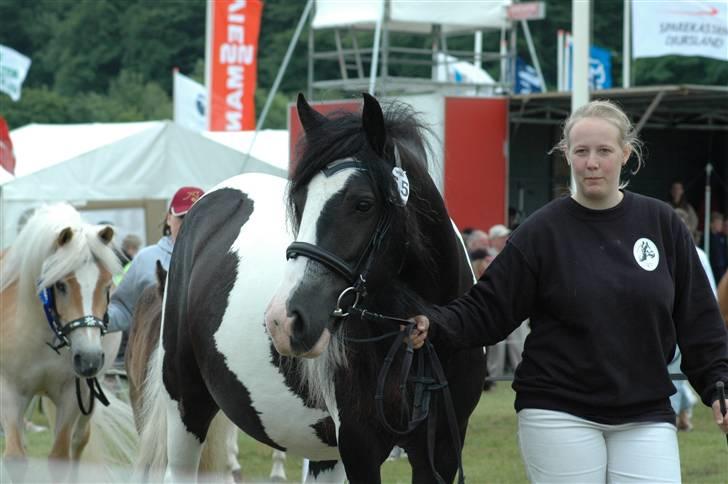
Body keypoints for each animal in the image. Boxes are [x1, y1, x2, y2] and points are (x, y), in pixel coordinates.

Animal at [0, 202, 123, 466]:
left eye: (107, 286)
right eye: (60, 285)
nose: (89, 358)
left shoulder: (71, 396)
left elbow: (60, 455)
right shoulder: (9, 392)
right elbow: (15, 456)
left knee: (79, 440)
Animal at [139, 92, 486, 482]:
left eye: (363, 204)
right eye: (300, 201)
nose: (283, 320)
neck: (417, 339)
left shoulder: (440, 447)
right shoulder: (359, 443)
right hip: (186, 404)